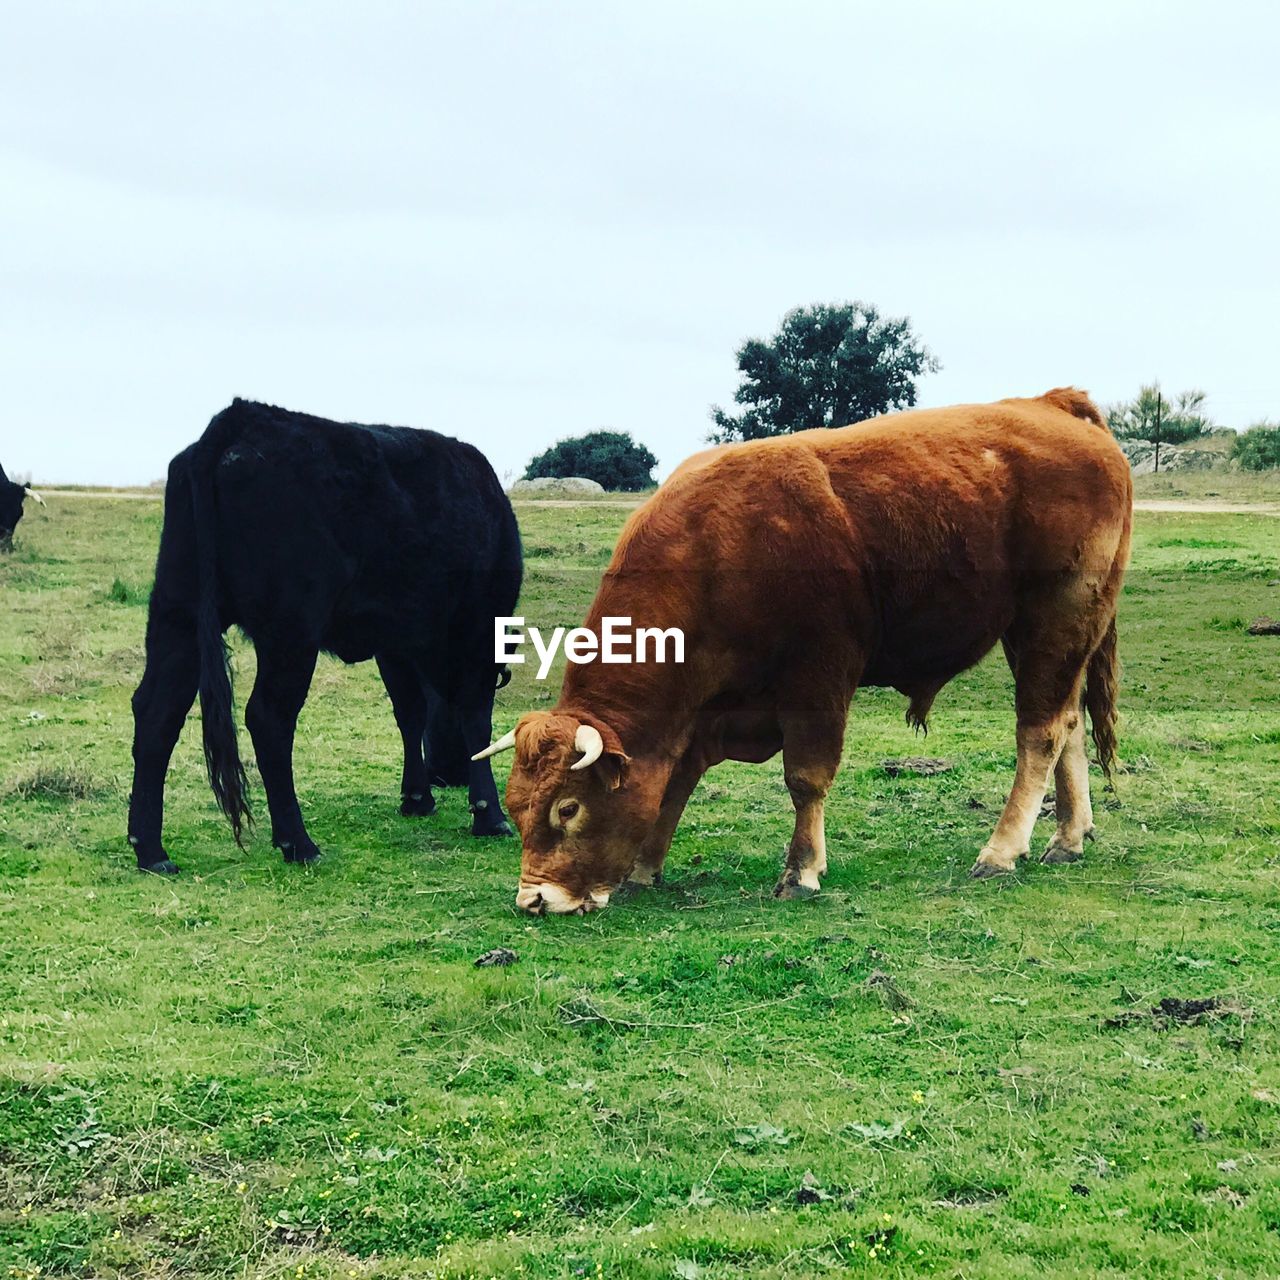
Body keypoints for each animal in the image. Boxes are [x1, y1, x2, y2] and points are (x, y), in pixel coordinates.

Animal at [122, 404, 517, 875]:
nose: (447, 775)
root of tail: (242, 418)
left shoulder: (394, 643)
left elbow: (410, 712)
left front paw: (417, 798)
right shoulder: (479, 629)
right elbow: (475, 717)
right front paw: (489, 815)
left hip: (177, 611)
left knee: (158, 710)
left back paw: (151, 850)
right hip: (290, 631)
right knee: (268, 718)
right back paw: (298, 842)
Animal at [478, 386, 1131, 911]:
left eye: (567, 809)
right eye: (515, 805)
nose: (535, 900)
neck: (714, 549)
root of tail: (1054, 403)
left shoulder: (818, 680)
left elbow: (806, 779)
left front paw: (802, 870)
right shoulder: (704, 712)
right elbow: (675, 782)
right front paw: (645, 865)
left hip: (1057, 617)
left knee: (1040, 732)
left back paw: (1001, 850)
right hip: (1042, 634)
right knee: (1067, 725)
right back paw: (1068, 837)